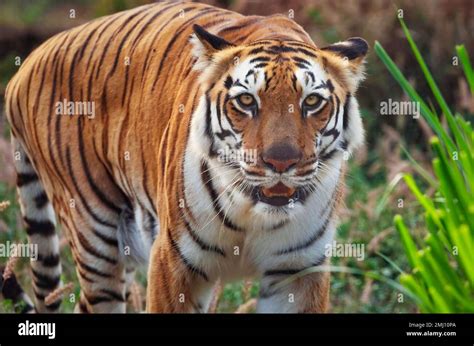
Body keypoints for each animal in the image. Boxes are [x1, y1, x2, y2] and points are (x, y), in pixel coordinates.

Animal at [2, 0, 366, 314]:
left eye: (312, 102)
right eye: (247, 101)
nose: (280, 163)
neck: (253, 213)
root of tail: (24, 68)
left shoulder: (298, 272)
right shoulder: (174, 262)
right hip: (95, 237)